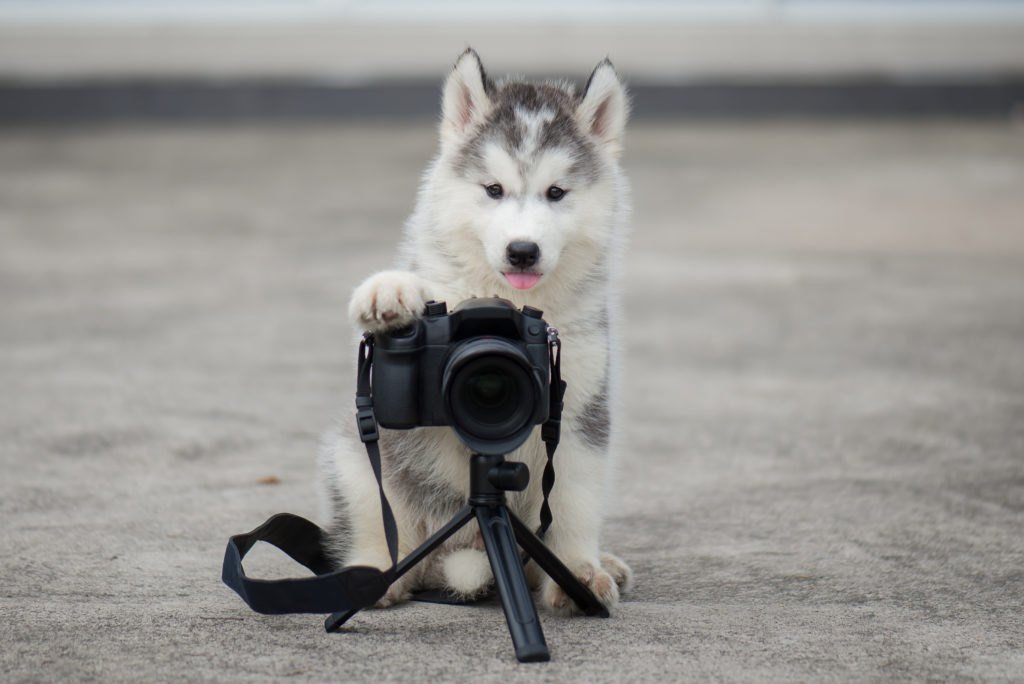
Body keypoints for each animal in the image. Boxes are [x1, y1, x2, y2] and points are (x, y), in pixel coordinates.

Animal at [319, 49, 630, 614]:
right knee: (381, 525)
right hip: (352, 459)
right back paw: (374, 575)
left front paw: (577, 573)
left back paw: (601, 564)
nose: (522, 250)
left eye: (556, 193)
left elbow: (572, 505)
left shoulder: (579, 412)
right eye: (493, 190)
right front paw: (390, 293)